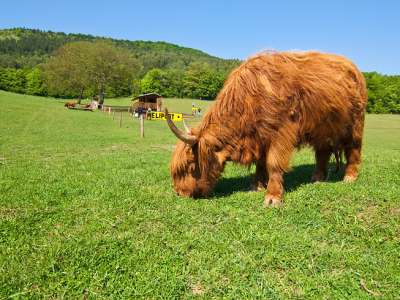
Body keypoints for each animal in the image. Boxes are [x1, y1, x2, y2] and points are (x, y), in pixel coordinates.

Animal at [164, 51, 368, 206]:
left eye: (191, 166)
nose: (179, 193)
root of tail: (353, 67)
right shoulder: (259, 137)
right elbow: (260, 163)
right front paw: (256, 186)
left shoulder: (281, 132)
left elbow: (273, 163)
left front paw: (272, 197)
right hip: (322, 129)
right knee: (322, 152)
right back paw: (317, 177)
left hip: (355, 124)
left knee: (353, 149)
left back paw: (350, 177)